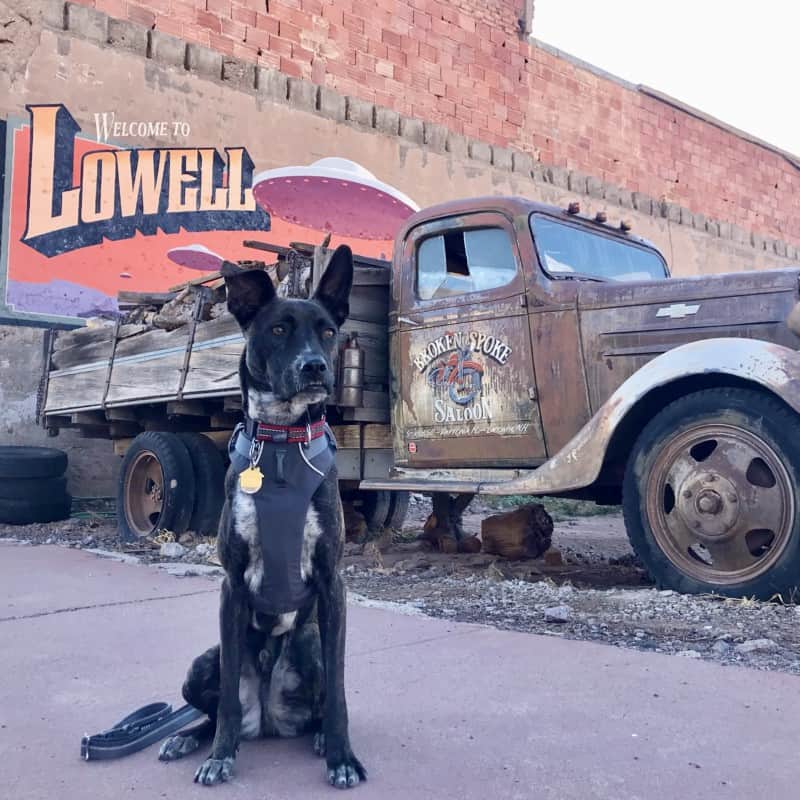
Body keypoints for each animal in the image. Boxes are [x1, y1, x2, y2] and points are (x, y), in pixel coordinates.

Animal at [155, 247, 366, 792]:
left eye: (328, 331)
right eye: (278, 329)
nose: (315, 367)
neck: (283, 443)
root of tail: (269, 721)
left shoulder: (333, 583)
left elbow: (340, 691)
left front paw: (343, 757)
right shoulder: (231, 587)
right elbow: (229, 695)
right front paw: (219, 756)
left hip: (308, 642)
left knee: (319, 702)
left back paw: (319, 738)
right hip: (201, 662)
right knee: (213, 707)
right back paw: (188, 738)